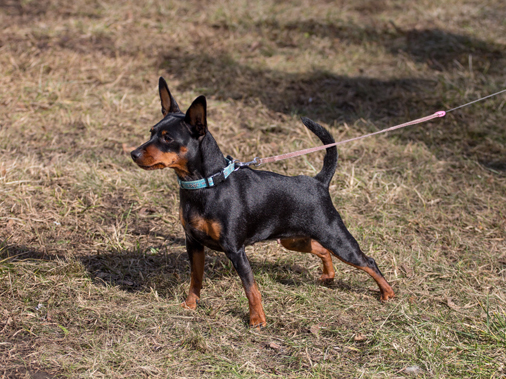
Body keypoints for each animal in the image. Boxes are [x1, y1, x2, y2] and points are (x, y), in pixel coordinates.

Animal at [131, 78, 396, 330]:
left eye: (167, 138)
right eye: (151, 132)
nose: (133, 153)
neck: (207, 185)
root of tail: (319, 182)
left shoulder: (235, 250)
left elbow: (251, 288)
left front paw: (257, 320)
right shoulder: (193, 243)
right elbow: (196, 278)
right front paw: (190, 305)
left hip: (337, 239)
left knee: (367, 261)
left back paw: (388, 293)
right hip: (294, 240)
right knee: (322, 250)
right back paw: (329, 276)